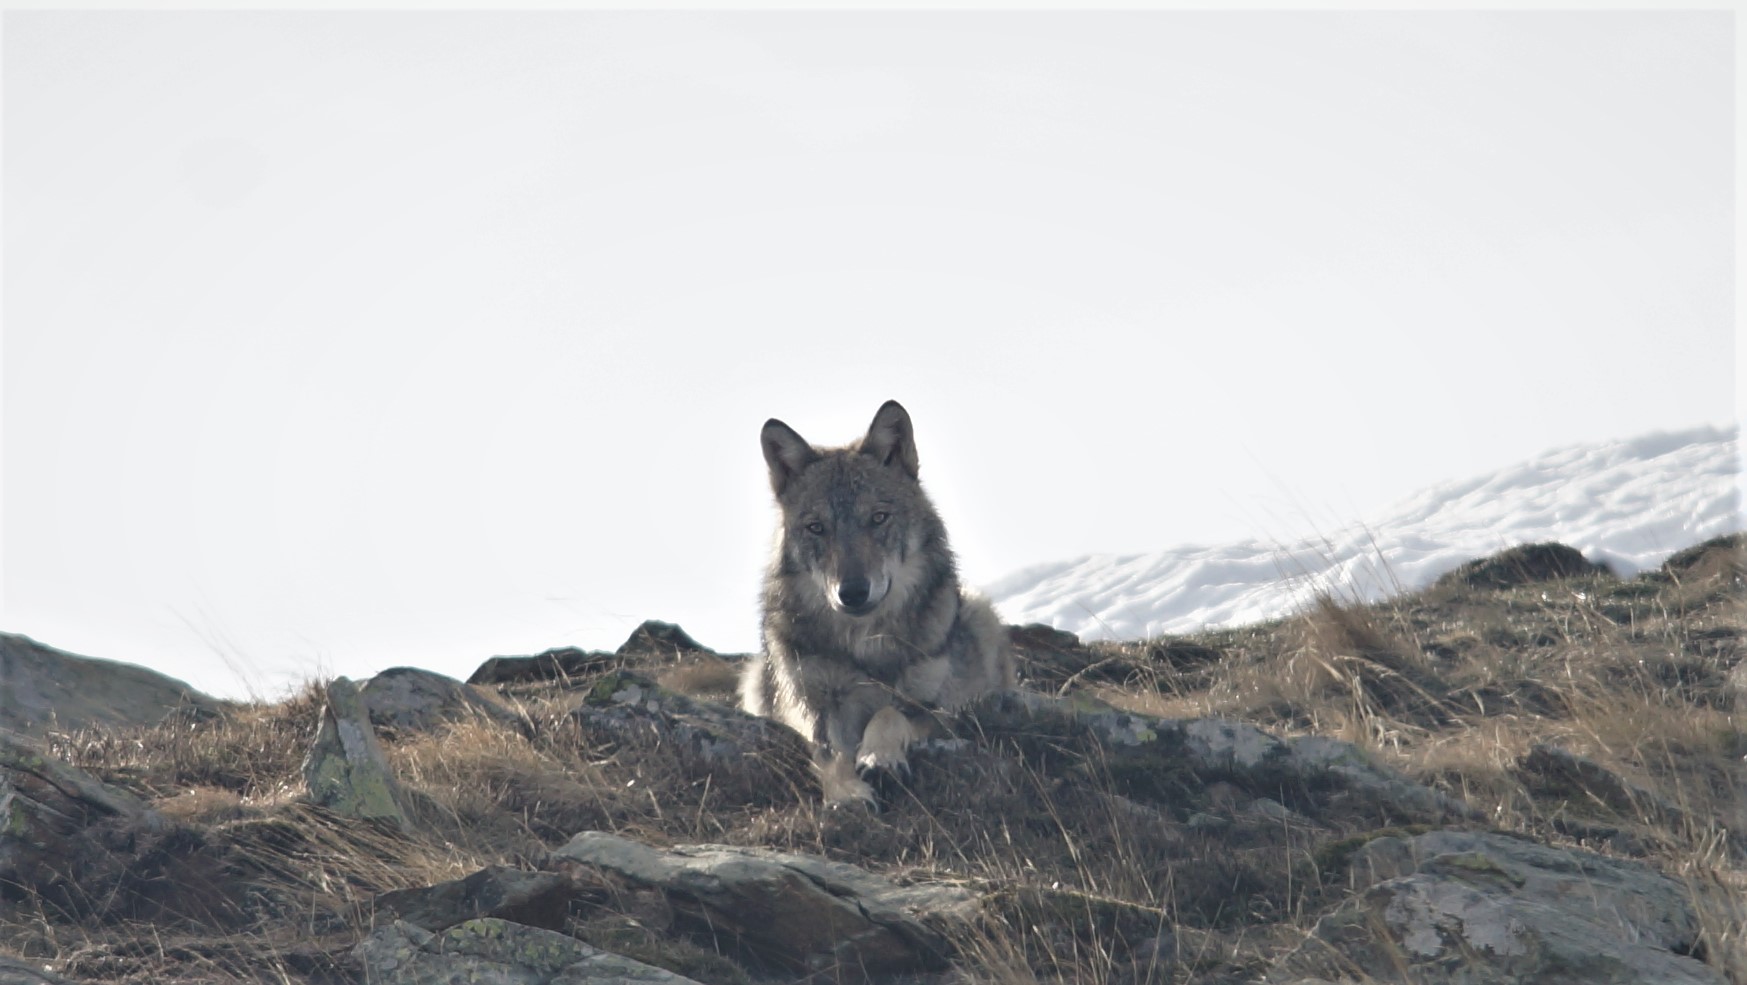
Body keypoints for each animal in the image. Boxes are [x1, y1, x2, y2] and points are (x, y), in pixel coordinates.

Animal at [740, 400, 1016, 806]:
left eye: (878, 518)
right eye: (816, 528)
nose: (853, 592)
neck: (865, 644)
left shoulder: (936, 711)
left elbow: (889, 712)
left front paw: (879, 757)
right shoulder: (812, 708)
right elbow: (831, 750)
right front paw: (848, 793)